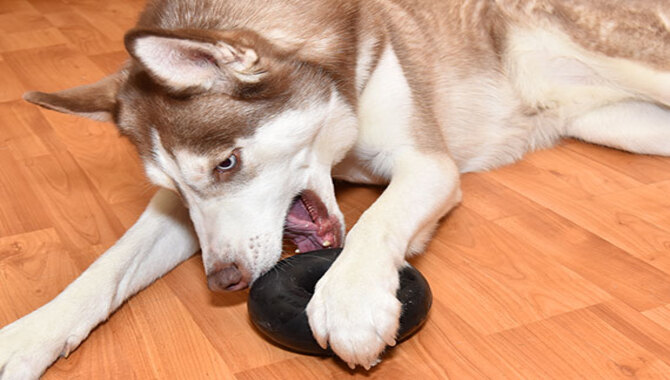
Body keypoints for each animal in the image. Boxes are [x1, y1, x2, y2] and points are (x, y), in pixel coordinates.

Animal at [0, 0, 668, 378]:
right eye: (180, 191)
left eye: (226, 164)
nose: (223, 281)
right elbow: (108, 266)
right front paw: (32, 334)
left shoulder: (426, 163)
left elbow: (376, 221)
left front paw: (351, 298)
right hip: (622, 124)